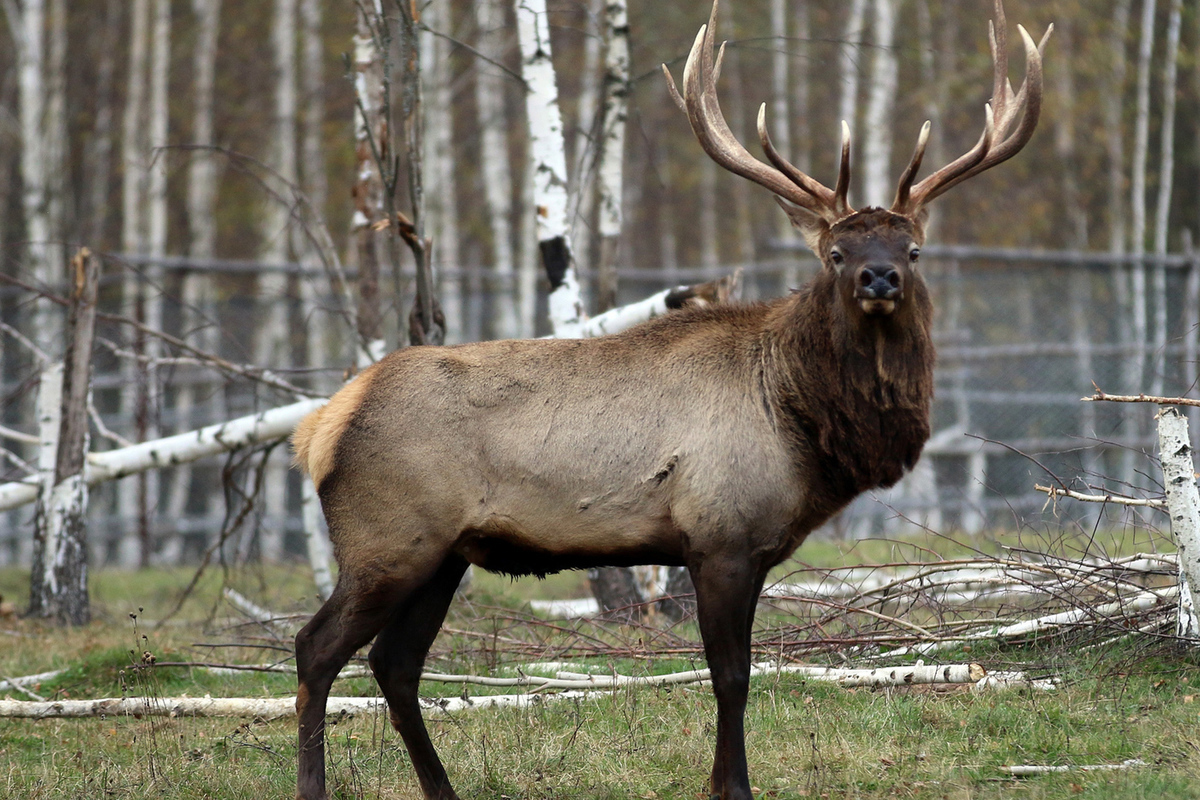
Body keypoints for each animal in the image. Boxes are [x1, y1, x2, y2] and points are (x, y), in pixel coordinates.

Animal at [292, 1, 1051, 796]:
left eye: (912, 249)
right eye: (836, 253)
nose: (879, 278)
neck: (803, 425)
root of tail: (321, 427)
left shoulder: (748, 548)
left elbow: (738, 671)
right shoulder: (719, 536)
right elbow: (731, 677)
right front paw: (733, 785)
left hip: (442, 555)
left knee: (394, 663)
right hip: (389, 539)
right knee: (316, 648)